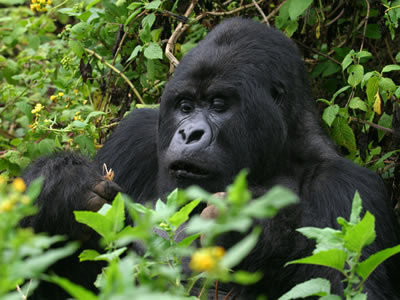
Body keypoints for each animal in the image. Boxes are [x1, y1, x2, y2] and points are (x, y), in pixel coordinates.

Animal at [21, 17, 400, 298]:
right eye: (185, 106)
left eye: (218, 105)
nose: (189, 134)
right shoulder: (133, 136)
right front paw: (63, 189)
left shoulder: (348, 187)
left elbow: (347, 285)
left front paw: (256, 233)